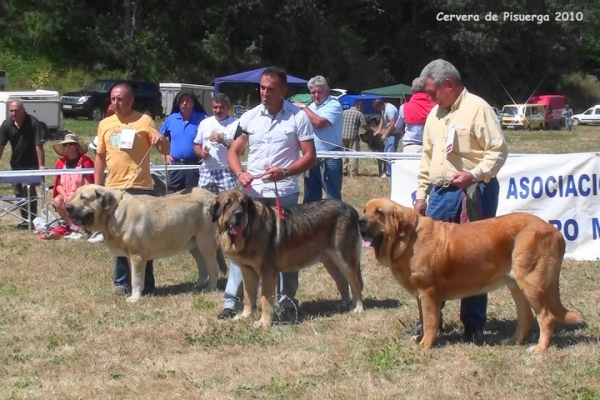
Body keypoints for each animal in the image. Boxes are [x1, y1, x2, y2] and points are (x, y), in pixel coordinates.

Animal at [64, 184, 226, 304]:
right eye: (75, 195)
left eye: (83, 198)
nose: (67, 208)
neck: (113, 211)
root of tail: (213, 196)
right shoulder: (131, 257)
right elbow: (136, 277)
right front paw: (139, 292)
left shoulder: (137, 256)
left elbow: (135, 278)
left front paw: (134, 298)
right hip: (194, 244)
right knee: (202, 266)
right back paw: (198, 284)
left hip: (205, 242)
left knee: (213, 267)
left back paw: (210, 288)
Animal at [209, 189, 364, 326]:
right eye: (227, 204)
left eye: (243, 204)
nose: (239, 214)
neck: (249, 232)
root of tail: (351, 208)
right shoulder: (248, 272)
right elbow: (248, 297)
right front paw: (244, 316)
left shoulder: (267, 273)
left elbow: (265, 301)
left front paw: (263, 323)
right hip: (330, 261)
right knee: (342, 283)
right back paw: (344, 306)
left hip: (344, 260)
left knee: (355, 284)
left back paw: (358, 308)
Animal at [358, 198, 584, 352]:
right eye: (364, 210)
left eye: (379, 212)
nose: (360, 221)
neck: (407, 239)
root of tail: (556, 232)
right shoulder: (420, 296)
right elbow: (424, 319)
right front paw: (420, 338)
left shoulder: (428, 293)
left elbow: (430, 322)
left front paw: (424, 345)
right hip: (517, 286)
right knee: (526, 317)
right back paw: (512, 342)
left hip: (531, 283)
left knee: (546, 317)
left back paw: (539, 349)